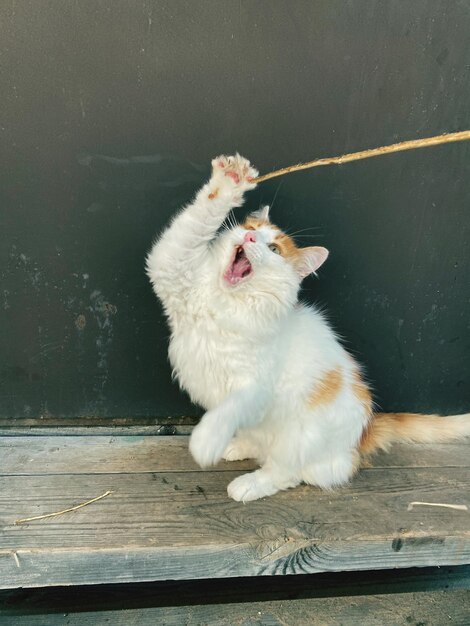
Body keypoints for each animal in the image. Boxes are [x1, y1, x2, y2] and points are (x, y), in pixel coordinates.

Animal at [147, 154, 470, 500]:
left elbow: (228, 409)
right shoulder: (171, 264)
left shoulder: (255, 387)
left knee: (283, 473)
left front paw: (206, 441)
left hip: (298, 437)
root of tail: (366, 430)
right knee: (261, 449)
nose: (249, 238)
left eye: (274, 249)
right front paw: (230, 180)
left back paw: (247, 484)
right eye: (251, 229)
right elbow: (199, 216)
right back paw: (236, 447)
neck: (226, 301)